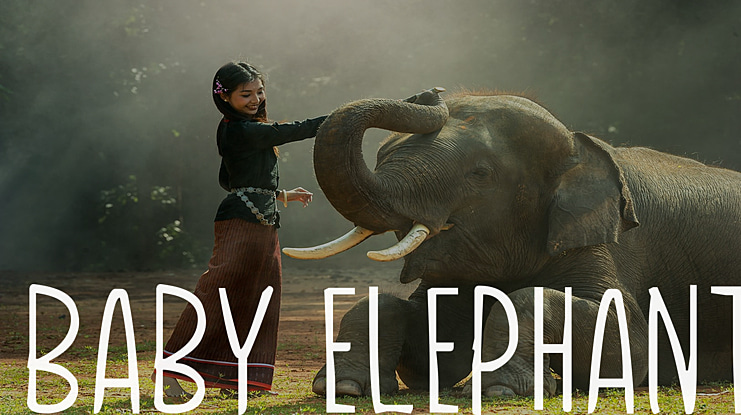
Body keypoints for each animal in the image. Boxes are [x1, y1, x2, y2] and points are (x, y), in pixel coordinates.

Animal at [283, 88, 741, 398]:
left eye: (480, 173)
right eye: (381, 157)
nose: (431, 92)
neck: (579, 146)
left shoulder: (601, 239)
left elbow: (627, 346)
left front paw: (499, 390)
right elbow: (436, 354)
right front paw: (342, 387)